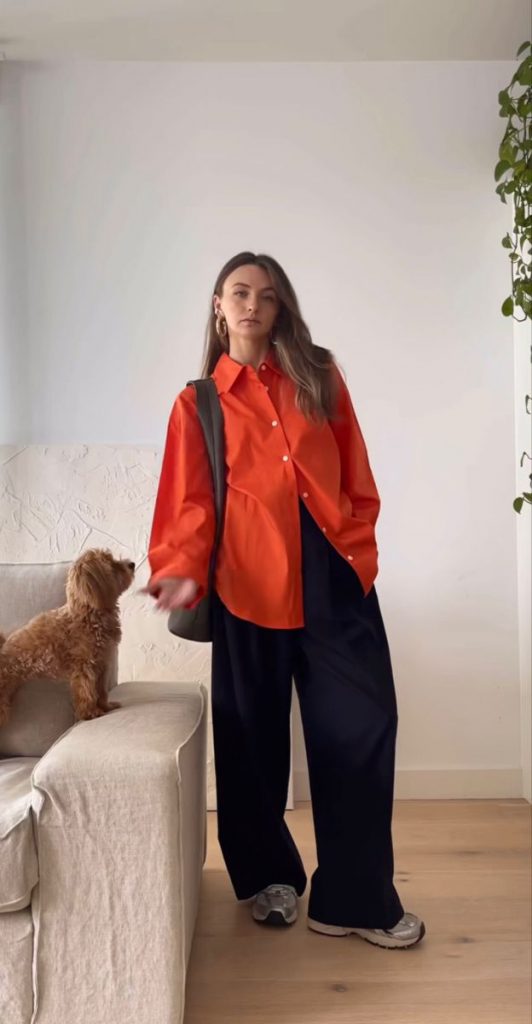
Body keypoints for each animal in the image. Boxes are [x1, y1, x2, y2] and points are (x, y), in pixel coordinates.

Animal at [0, 549, 135, 726]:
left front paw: (106, 706)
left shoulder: (101, 665)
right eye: (111, 564)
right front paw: (90, 713)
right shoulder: (85, 666)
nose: (132, 564)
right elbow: (86, 691)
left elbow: (101, 691)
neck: (89, 616)